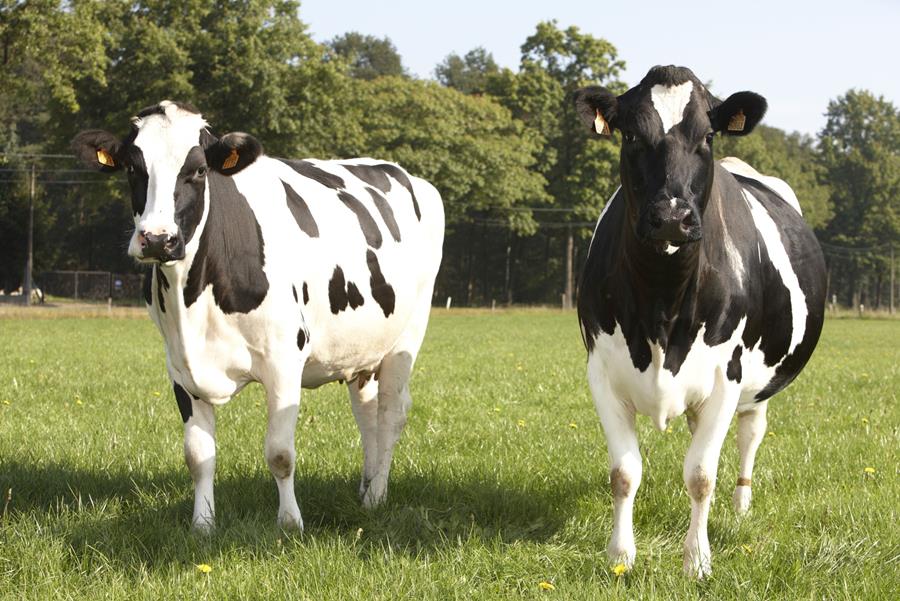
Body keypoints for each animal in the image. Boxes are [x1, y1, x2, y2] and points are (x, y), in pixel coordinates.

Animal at [72, 101, 444, 531]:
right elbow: (198, 455)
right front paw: (203, 525)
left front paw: (290, 524)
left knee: (390, 414)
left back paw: (377, 497)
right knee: (367, 415)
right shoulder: (180, 366)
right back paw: (365, 489)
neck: (192, 301)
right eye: (133, 168)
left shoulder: (285, 359)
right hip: (362, 350)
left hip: (408, 334)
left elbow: (280, 453)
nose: (158, 239)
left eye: (199, 170)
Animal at [572, 66, 826, 577]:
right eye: (630, 134)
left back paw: (742, 503)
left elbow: (702, 475)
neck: (662, 302)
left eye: (707, 135)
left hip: (756, 383)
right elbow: (624, 473)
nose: (672, 217)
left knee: (749, 434)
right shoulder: (601, 371)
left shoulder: (727, 373)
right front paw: (621, 557)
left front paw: (697, 561)